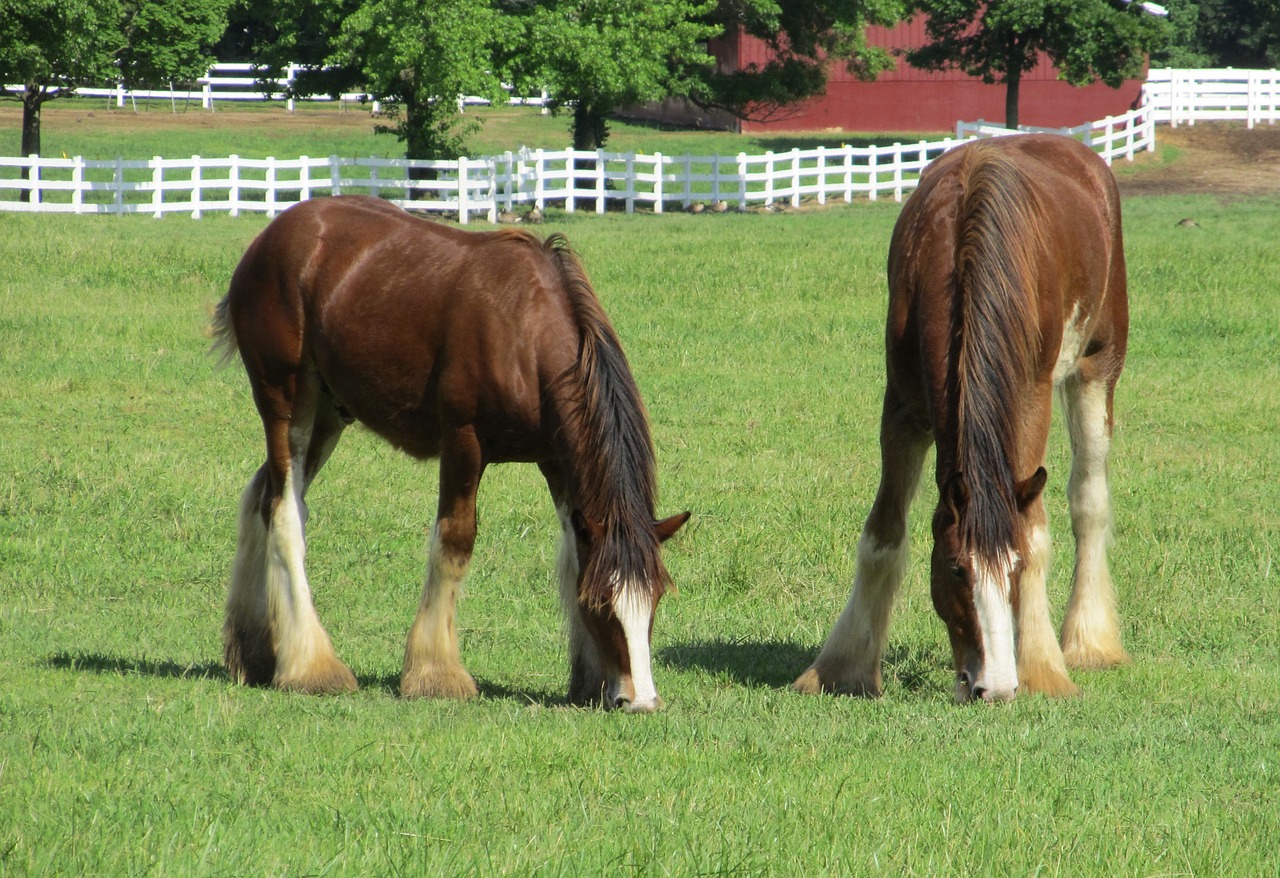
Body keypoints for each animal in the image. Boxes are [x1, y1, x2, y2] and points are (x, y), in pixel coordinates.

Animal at [209, 195, 691, 711]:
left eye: (655, 599)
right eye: (603, 603)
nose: (640, 700)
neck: (524, 333)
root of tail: (269, 238)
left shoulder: (558, 462)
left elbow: (572, 553)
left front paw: (591, 678)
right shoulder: (463, 442)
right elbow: (454, 542)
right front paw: (435, 674)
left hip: (328, 415)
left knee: (263, 498)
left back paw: (256, 651)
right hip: (287, 404)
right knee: (285, 513)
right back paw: (311, 666)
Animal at [793, 134, 1136, 706]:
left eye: (1013, 569)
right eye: (956, 568)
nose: (992, 687)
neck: (960, 248)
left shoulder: (1031, 402)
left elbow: (1036, 533)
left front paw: (1041, 668)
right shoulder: (903, 407)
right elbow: (883, 532)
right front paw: (843, 667)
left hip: (1096, 369)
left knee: (1088, 502)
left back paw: (1088, 641)